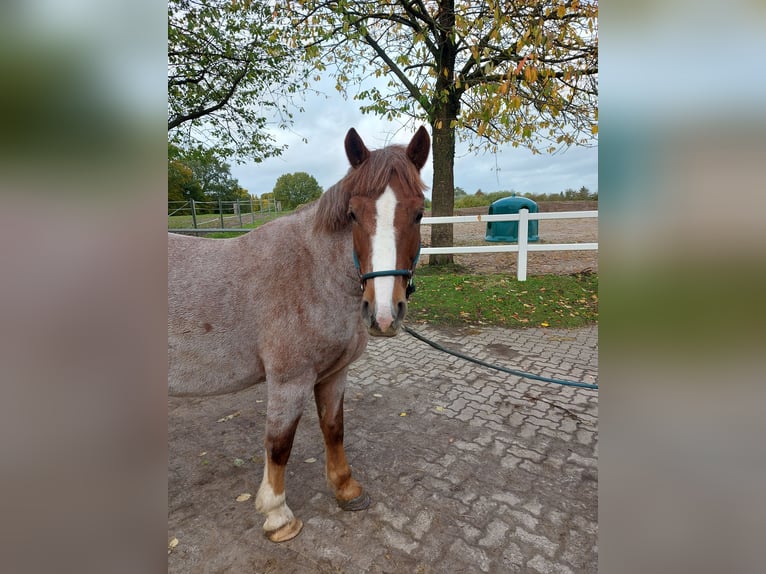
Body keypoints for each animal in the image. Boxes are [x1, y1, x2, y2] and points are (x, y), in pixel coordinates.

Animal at [168, 126, 430, 542]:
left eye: (419, 213)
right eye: (353, 214)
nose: (385, 314)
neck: (311, 272)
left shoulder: (333, 374)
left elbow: (334, 428)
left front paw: (346, 489)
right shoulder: (289, 381)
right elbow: (279, 444)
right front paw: (278, 515)